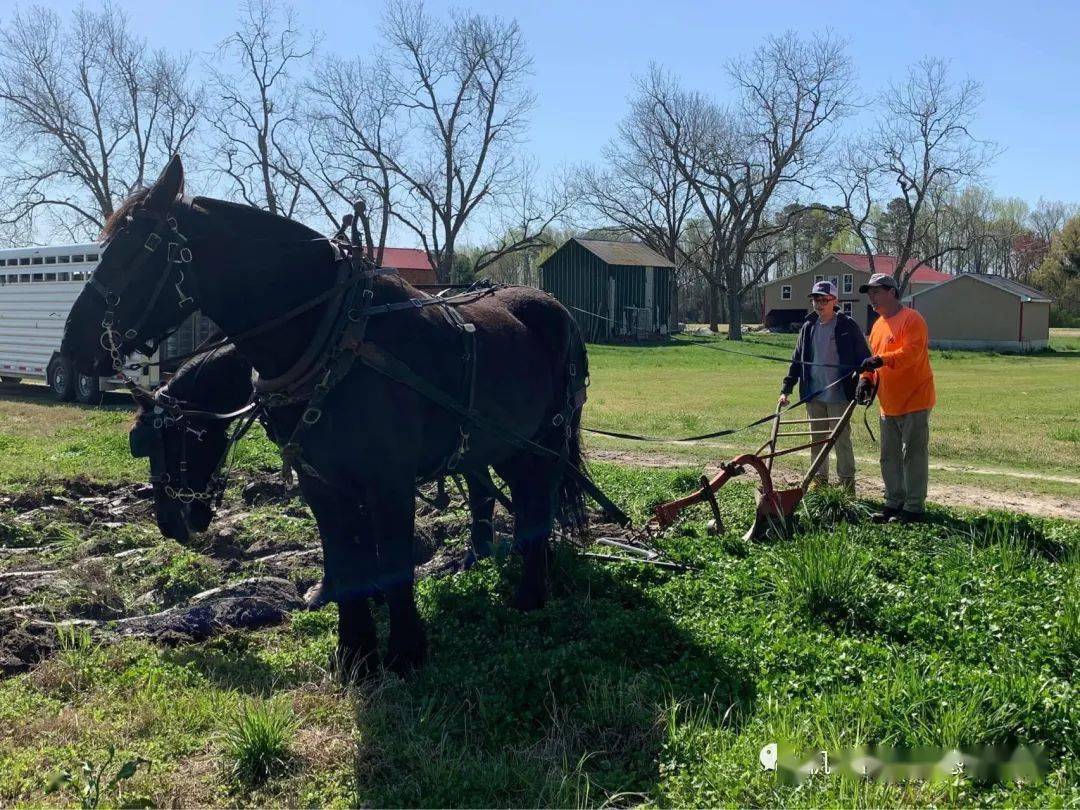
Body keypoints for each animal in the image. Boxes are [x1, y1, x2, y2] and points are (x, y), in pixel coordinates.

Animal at [65, 155, 600, 673]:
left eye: (135, 250)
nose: (75, 343)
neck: (335, 338)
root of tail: (553, 306)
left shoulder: (389, 481)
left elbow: (393, 560)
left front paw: (405, 652)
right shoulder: (320, 480)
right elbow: (345, 560)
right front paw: (354, 652)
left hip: (543, 441)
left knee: (537, 499)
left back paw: (531, 591)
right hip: (495, 443)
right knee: (495, 493)